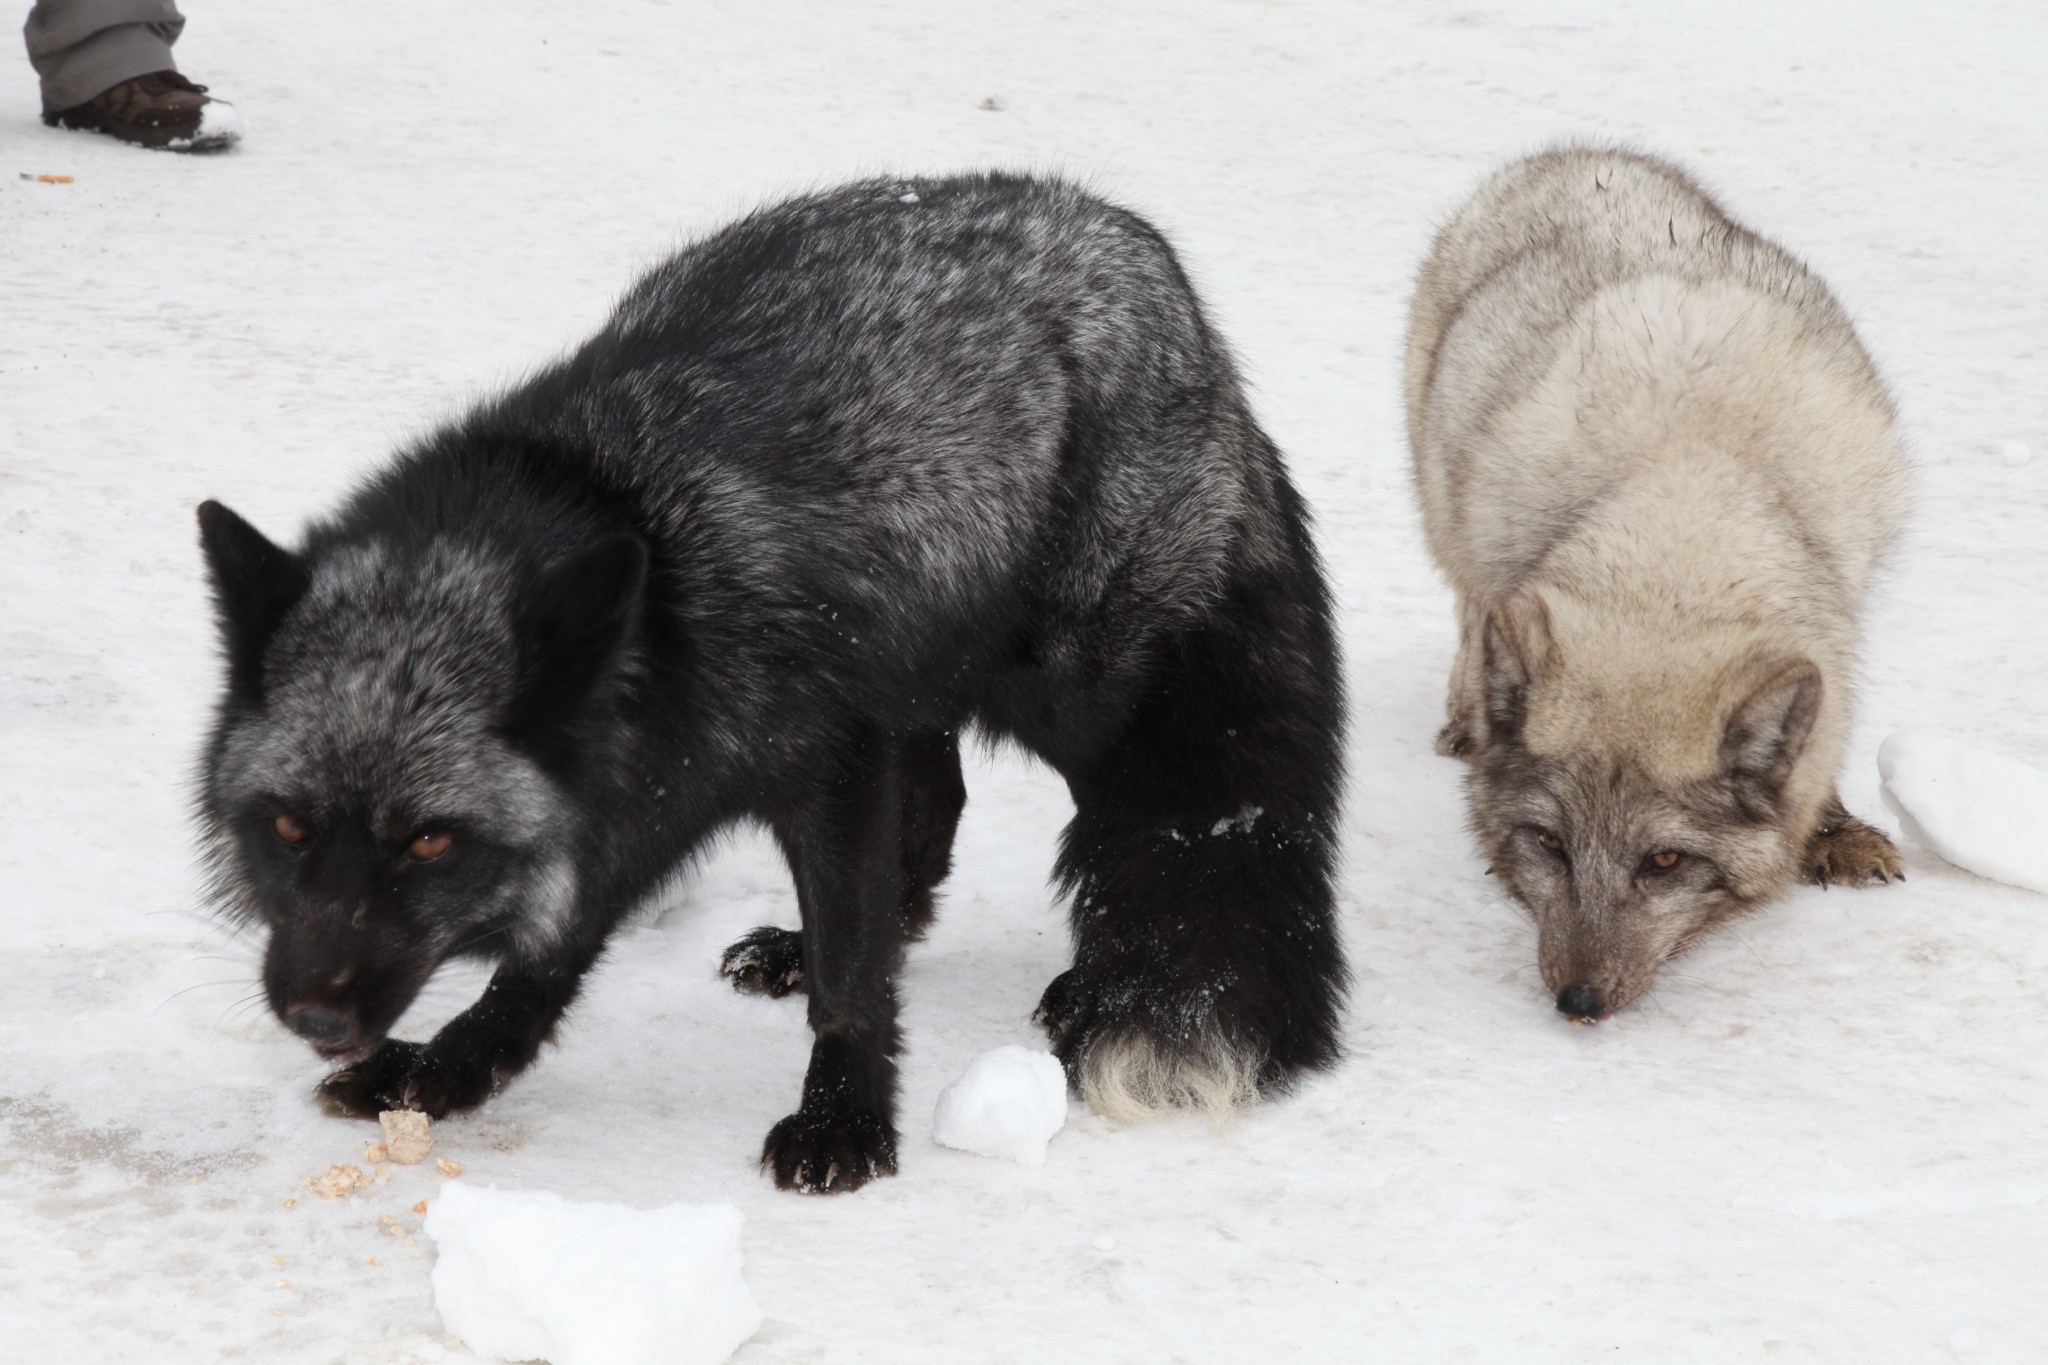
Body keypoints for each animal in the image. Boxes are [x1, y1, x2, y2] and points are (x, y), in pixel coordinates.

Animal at [195, 173, 1343, 1195]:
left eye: (430, 842)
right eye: (288, 827)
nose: (314, 1019)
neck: (656, 585)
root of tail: (1154, 262)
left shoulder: (825, 767)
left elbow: (848, 981)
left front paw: (844, 1122)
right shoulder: (636, 801)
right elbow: (544, 965)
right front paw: (450, 1069)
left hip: (1070, 692)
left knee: (1160, 809)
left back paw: (1093, 975)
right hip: (914, 682)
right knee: (938, 806)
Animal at [1409, 147, 1900, 1023]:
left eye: (1665, 861)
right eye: (1549, 843)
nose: (1578, 1001)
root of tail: (1577, 153)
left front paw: (1832, 827)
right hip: (1450, 513)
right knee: (1470, 616)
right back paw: (1469, 719)